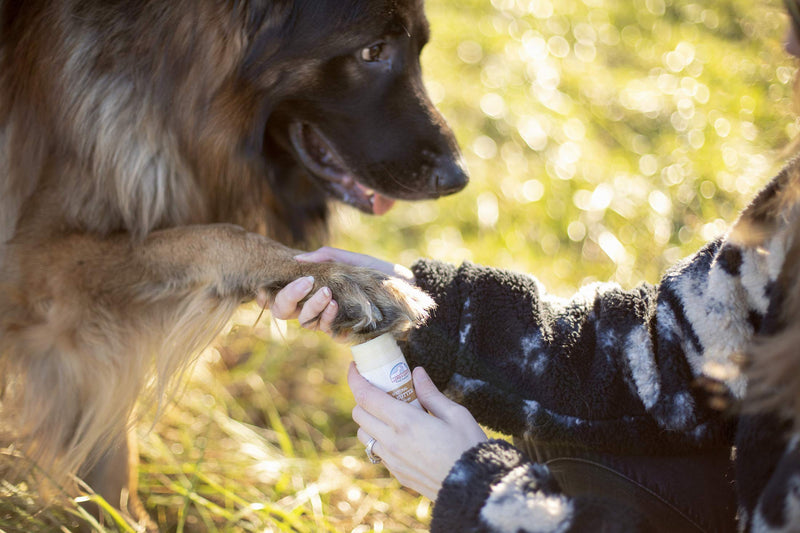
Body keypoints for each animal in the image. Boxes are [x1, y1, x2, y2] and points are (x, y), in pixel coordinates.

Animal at [0, 0, 468, 524]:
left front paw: (119, 517)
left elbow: (110, 450)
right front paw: (338, 278)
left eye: (421, 49)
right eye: (373, 51)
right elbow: (215, 236)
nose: (458, 177)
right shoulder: (32, 265)